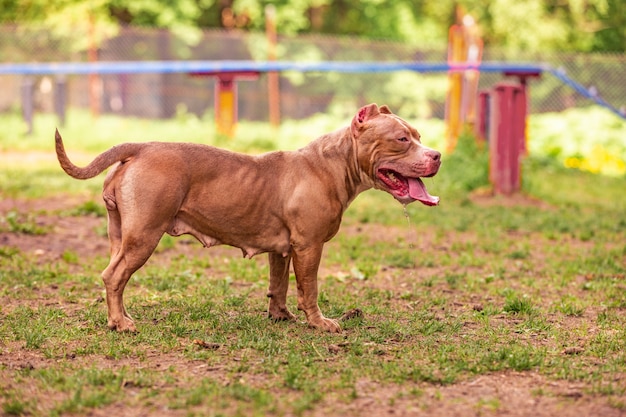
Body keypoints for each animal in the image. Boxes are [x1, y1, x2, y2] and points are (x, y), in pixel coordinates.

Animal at [54, 103, 438, 332]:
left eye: (419, 136)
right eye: (401, 139)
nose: (437, 155)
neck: (333, 165)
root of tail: (141, 147)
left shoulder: (284, 250)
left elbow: (279, 285)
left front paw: (280, 316)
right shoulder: (309, 246)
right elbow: (309, 288)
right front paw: (319, 323)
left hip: (120, 233)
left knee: (113, 275)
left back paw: (117, 317)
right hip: (143, 236)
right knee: (114, 276)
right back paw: (121, 323)